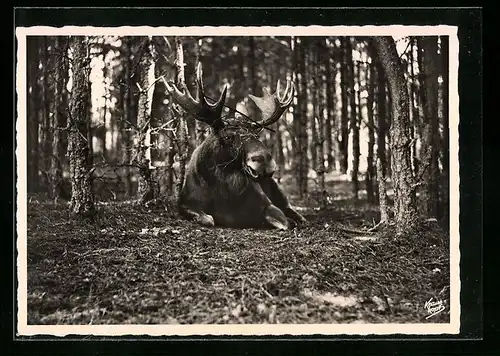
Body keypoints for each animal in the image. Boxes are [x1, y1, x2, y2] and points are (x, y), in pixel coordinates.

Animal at [165, 63, 304, 231]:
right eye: (227, 137)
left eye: (256, 135)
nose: (265, 160)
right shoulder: (185, 203)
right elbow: (208, 219)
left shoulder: (268, 205)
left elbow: (282, 220)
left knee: (292, 209)